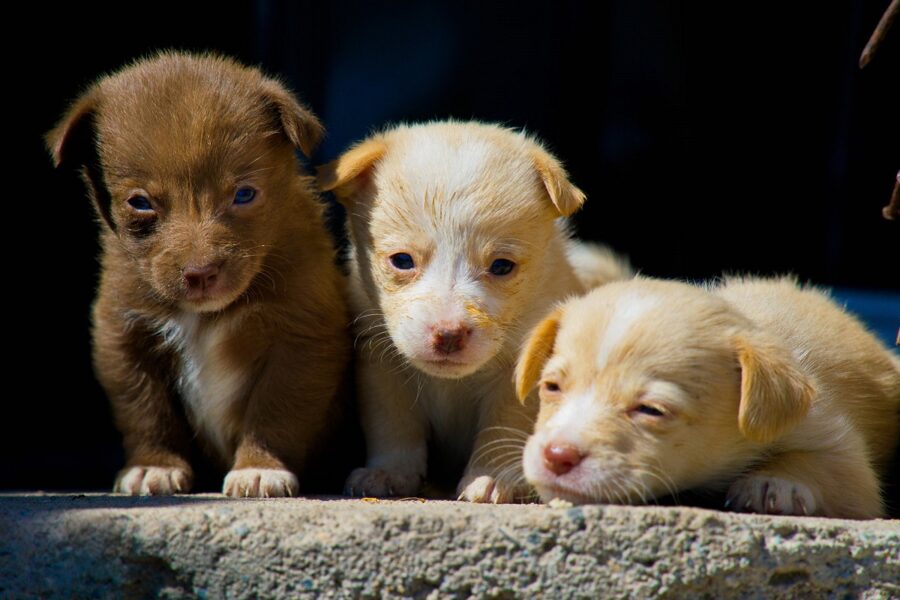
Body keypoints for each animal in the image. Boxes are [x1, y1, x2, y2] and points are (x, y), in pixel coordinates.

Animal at [44, 52, 352, 496]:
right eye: (140, 202)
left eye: (244, 194)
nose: (200, 273)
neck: (207, 315)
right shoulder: (123, 335)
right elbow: (145, 408)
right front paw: (153, 465)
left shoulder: (303, 334)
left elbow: (276, 408)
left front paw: (259, 468)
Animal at [320, 120, 628, 502]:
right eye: (402, 261)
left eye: (501, 266)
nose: (448, 335)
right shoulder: (383, 365)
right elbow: (394, 425)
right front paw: (389, 472)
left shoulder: (518, 378)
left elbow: (502, 428)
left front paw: (492, 478)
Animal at [516, 278, 896, 516]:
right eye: (551, 387)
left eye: (651, 410)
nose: (557, 456)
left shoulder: (840, 449)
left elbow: (820, 464)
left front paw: (773, 483)